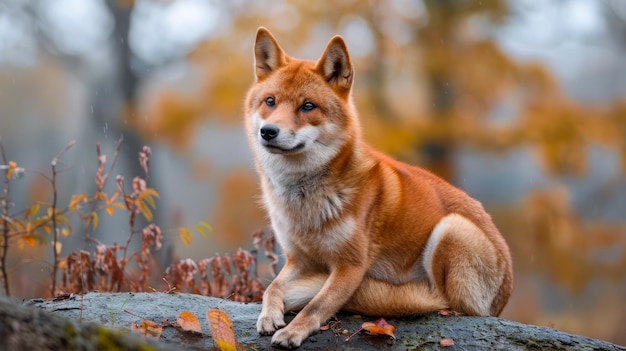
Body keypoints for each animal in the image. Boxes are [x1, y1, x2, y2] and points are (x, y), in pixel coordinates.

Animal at [244, 26, 512, 350]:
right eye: (270, 101)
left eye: (308, 106)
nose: (268, 132)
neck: (305, 206)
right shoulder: (299, 259)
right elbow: (271, 287)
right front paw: (269, 316)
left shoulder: (351, 265)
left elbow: (316, 306)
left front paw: (293, 332)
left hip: (451, 230)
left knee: (449, 305)